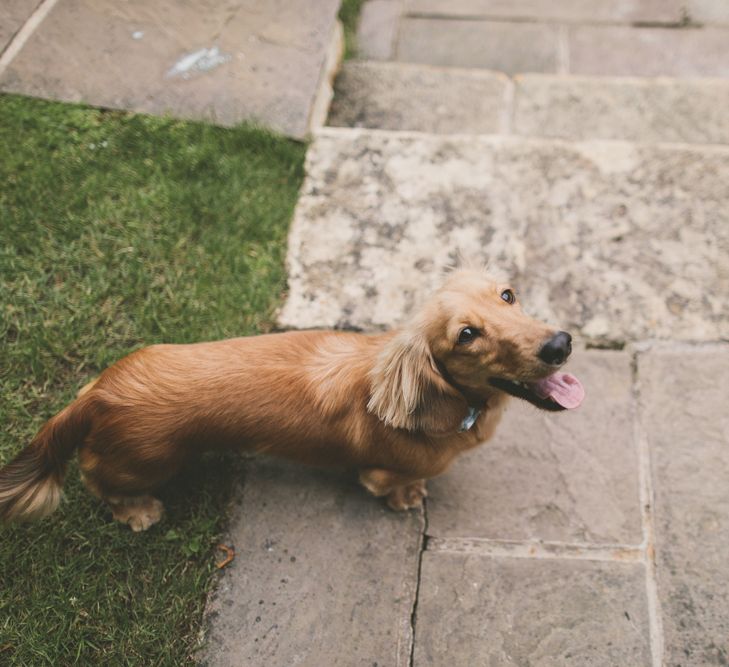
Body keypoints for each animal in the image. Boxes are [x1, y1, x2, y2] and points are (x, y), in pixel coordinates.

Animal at [0, 268, 580, 528]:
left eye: (508, 295)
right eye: (466, 335)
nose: (560, 344)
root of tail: (98, 395)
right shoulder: (379, 471)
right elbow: (392, 485)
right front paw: (408, 497)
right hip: (147, 462)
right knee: (99, 482)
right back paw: (138, 511)